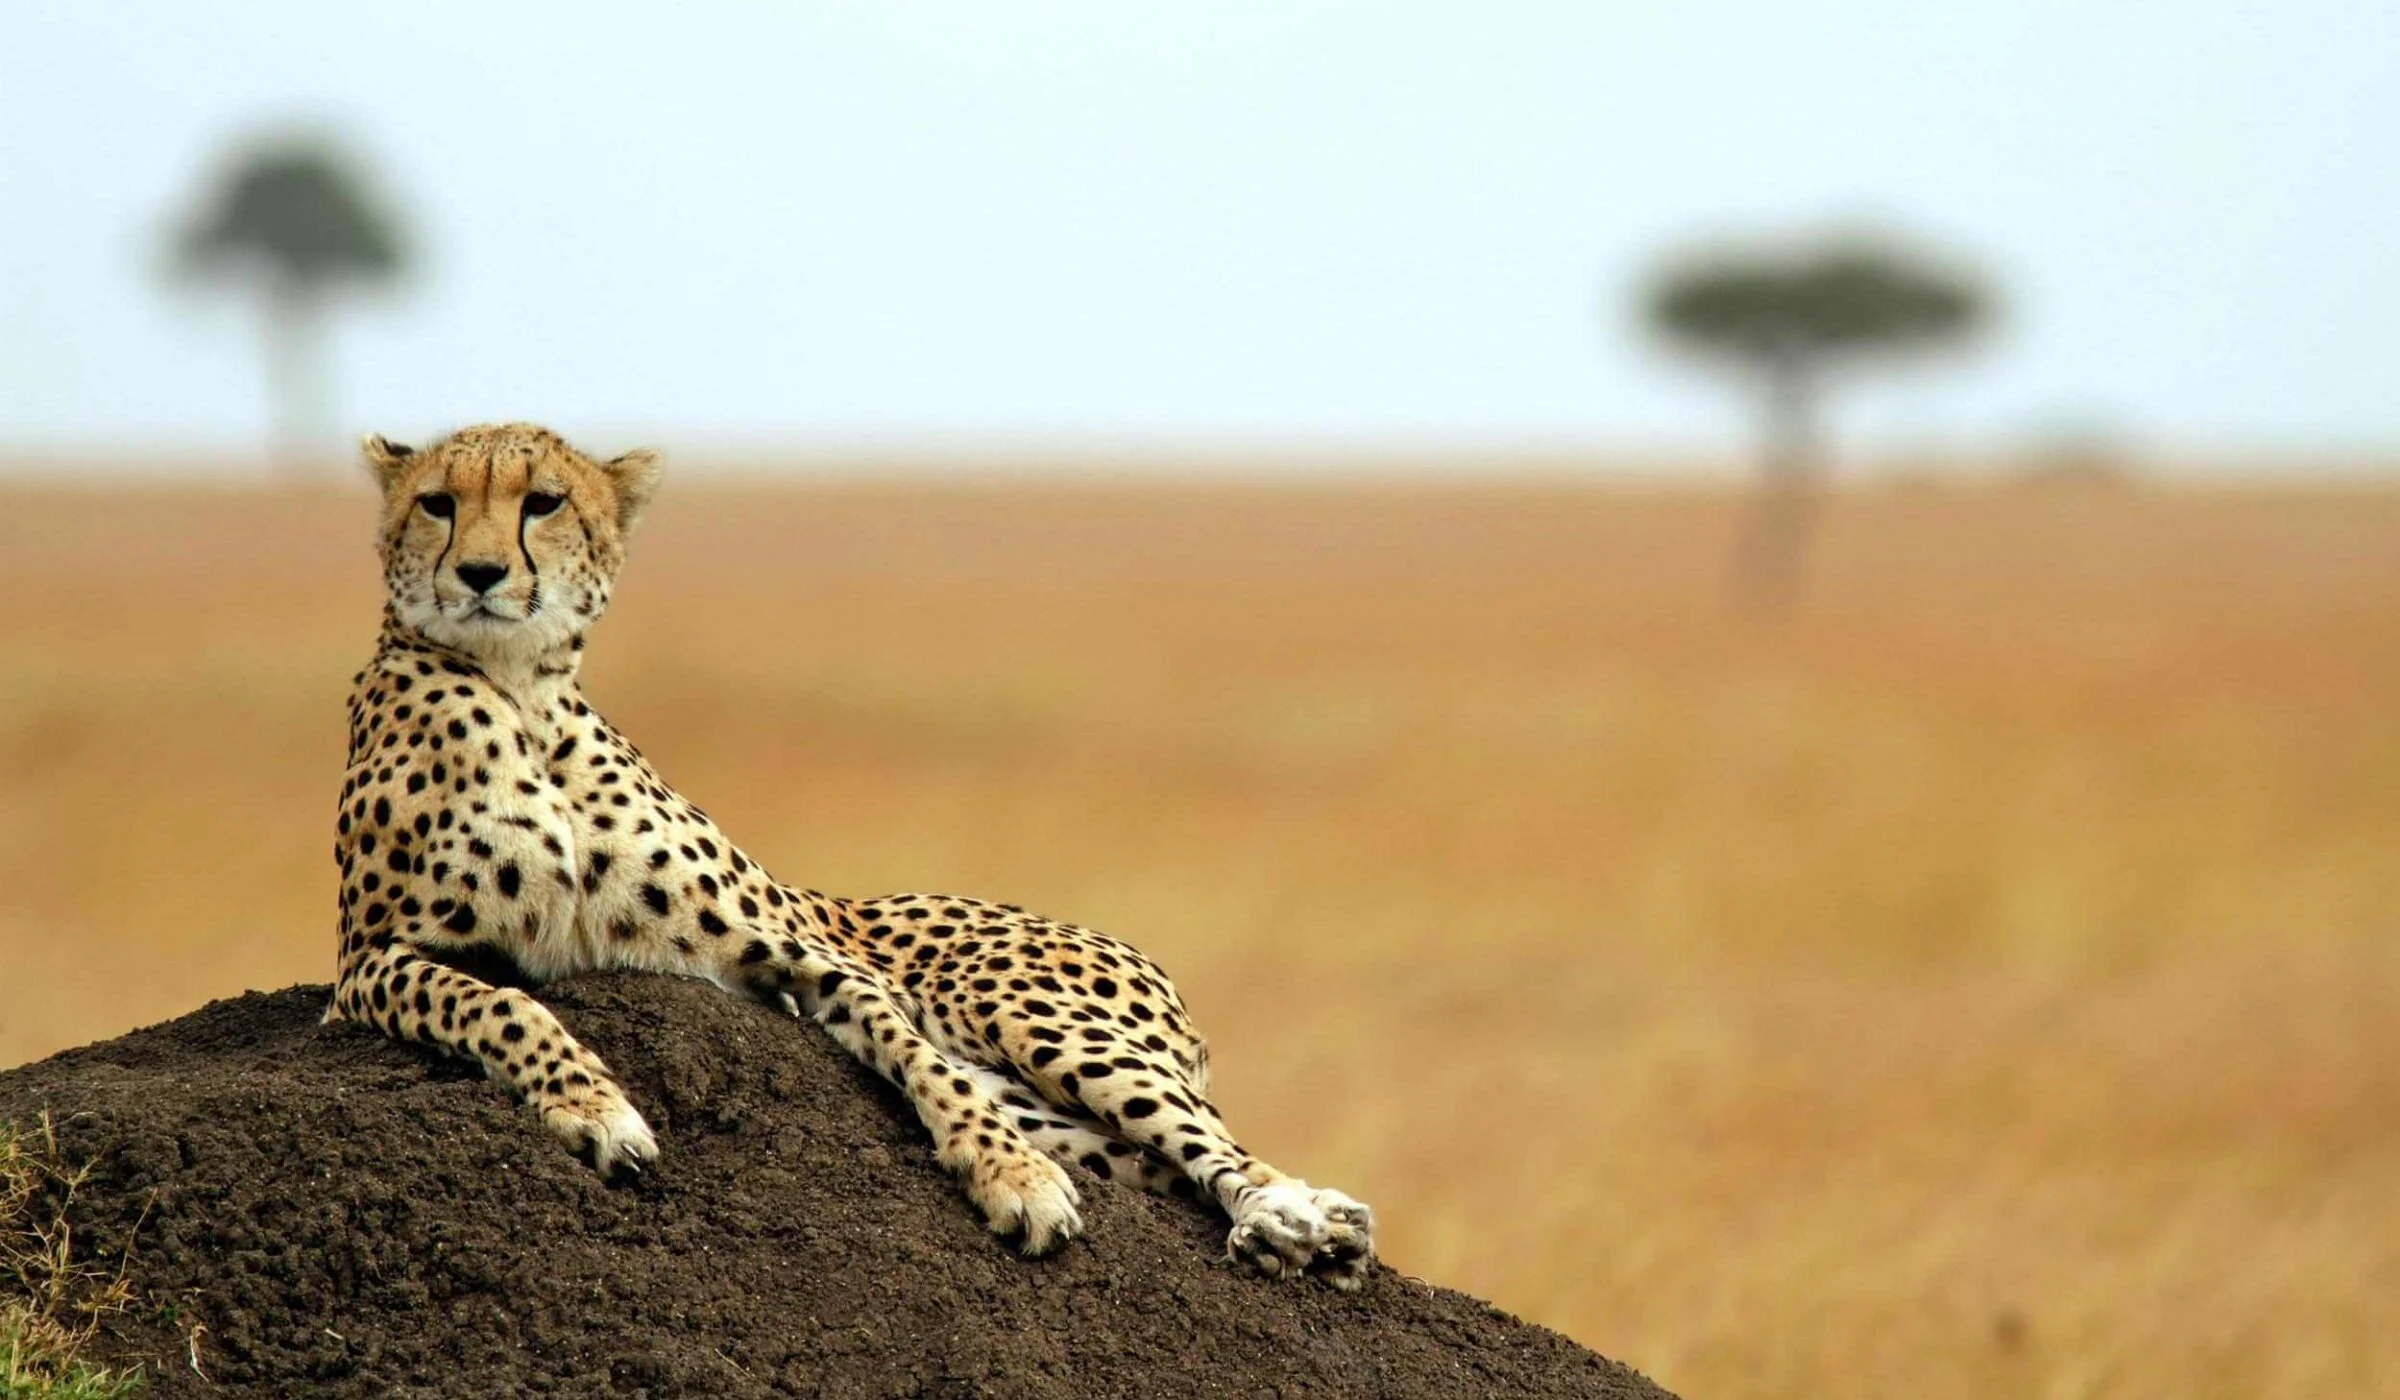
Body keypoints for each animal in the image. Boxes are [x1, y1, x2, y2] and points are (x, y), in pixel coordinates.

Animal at [324, 422, 1375, 1286]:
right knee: (1149, 1155)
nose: (480, 574)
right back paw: (1304, 1227)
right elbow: (499, 1003)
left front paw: (1014, 1179)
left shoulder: (799, 958)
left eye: (541, 501)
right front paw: (596, 1110)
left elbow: (918, 1060)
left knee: (1213, 1142)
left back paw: (1292, 1218)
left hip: (1033, 1019)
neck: (521, 692)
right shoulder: (365, 966)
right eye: (438, 503)